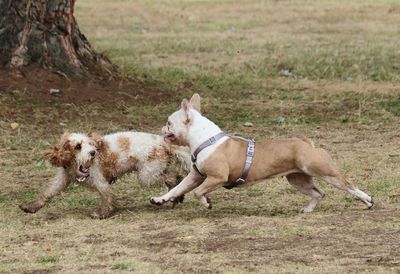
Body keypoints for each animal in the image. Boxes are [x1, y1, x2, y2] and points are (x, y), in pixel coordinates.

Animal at [19, 131, 191, 218]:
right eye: (78, 146)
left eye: (90, 144)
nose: (93, 153)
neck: (75, 166)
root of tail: (162, 142)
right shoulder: (63, 179)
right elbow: (48, 193)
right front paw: (31, 207)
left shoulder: (100, 182)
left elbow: (107, 197)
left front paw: (102, 213)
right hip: (153, 171)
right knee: (172, 177)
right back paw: (175, 198)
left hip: (147, 175)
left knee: (173, 178)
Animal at [150, 94, 376, 212]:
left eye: (169, 122)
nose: (161, 128)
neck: (205, 140)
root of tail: (306, 143)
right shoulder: (196, 176)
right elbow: (178, 188)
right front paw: (160, 199)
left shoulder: (216, 178)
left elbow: (198, 192)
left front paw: (207, 203)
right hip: (297, 179)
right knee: (319, 193)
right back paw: (308, 209)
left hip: (323, 170)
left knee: (348, 185)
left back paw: (367, 200)